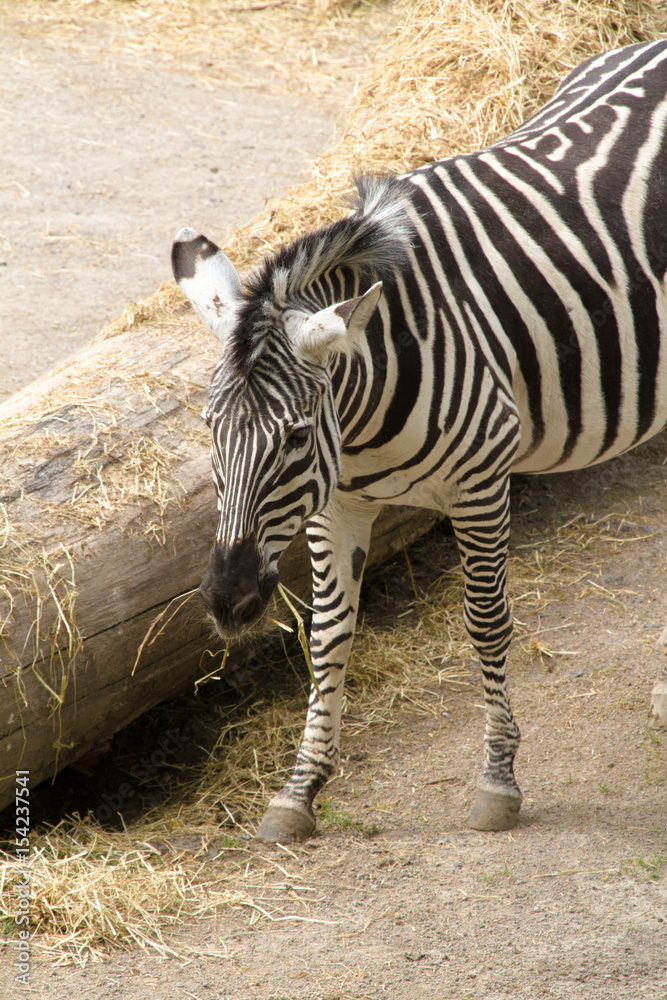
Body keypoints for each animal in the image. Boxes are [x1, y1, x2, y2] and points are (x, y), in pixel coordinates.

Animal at [172, 39, 667, 843]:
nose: (227, 600)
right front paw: (298, 792)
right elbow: (328, 636)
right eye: (210, 431)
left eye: (297, 436)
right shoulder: (335, 505)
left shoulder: (480, 483)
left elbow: (486, 624)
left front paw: (498, 781)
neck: (363, 413)